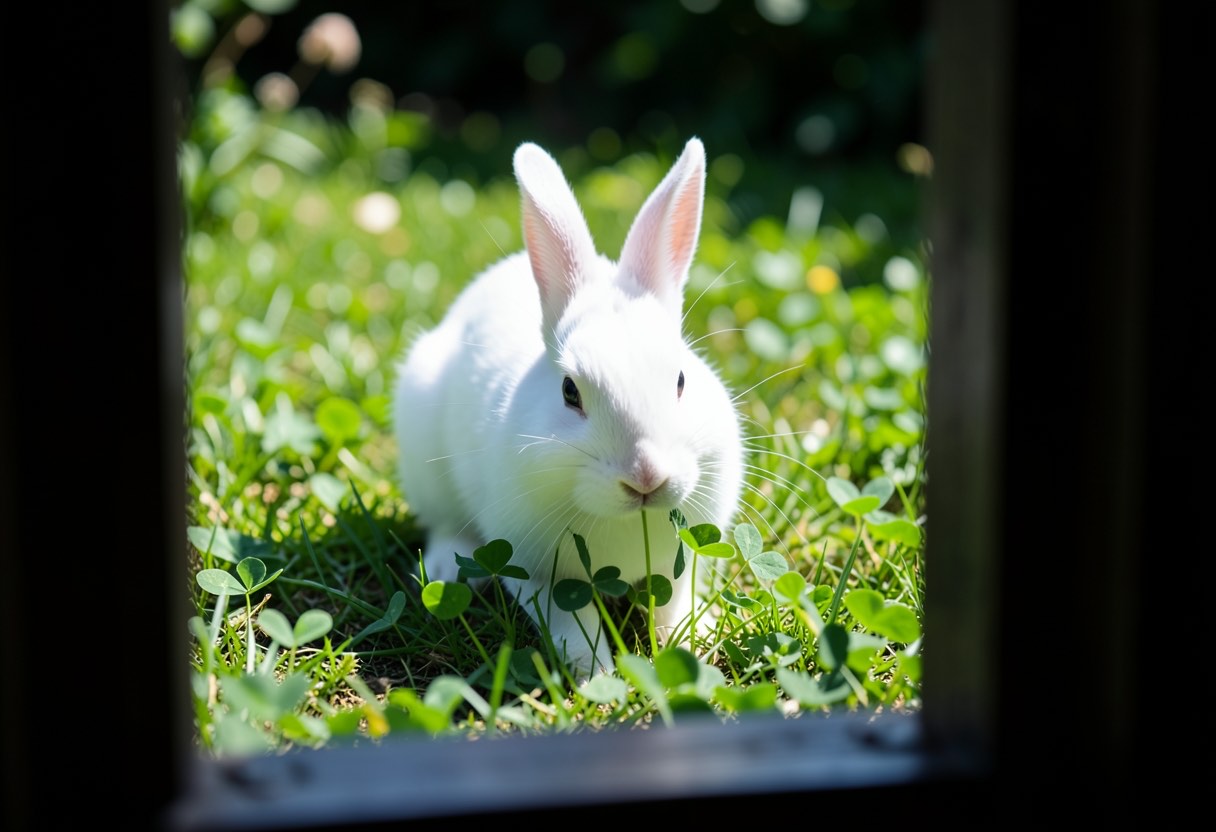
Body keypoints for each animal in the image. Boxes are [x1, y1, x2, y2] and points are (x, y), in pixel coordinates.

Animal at [393, 137, 744, 679]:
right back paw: (449, 567)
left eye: (682, 380)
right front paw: (595, 672)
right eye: (569, 392)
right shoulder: (537, 570)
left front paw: (690, 644)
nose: (645, 477)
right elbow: (570, 621)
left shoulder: (682, 561)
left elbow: (672, 604)